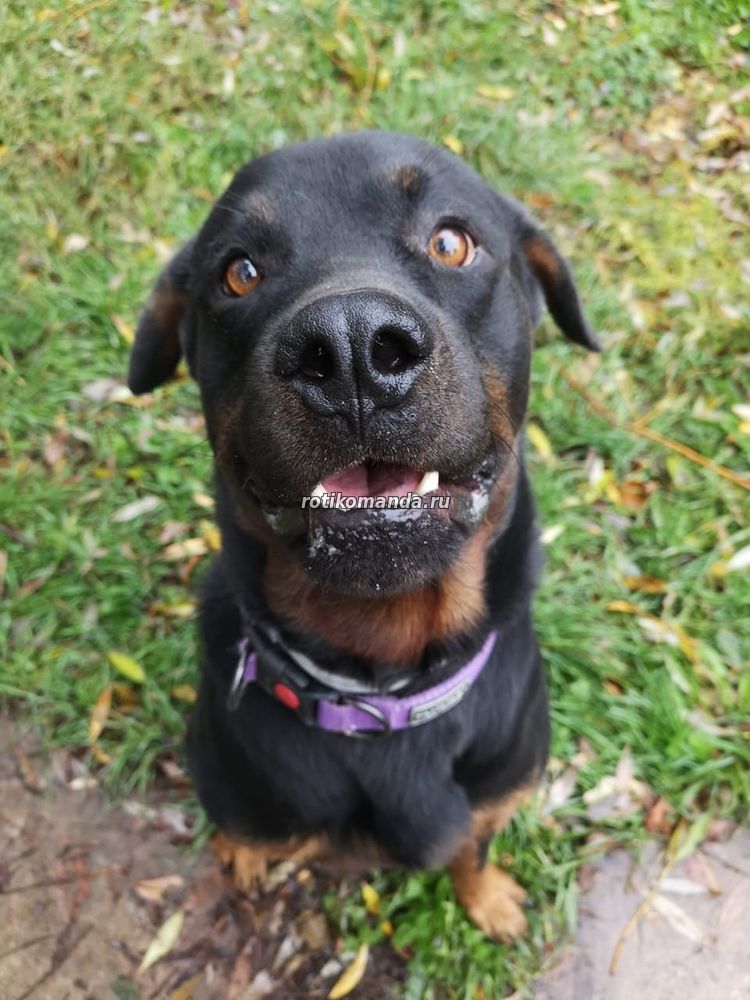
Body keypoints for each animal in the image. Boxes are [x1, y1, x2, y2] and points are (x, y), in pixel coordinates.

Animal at [127, 132, 599, 942]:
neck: (384, 688)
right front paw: (242, 856)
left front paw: (488, 898)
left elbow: (471, 849)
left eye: (451, 241)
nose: (349, 346)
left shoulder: (493, 797)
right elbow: (242, 828)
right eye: (238, 272)